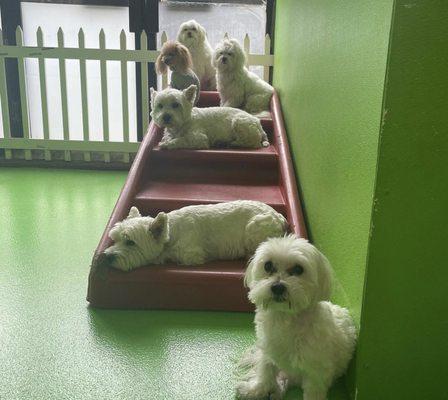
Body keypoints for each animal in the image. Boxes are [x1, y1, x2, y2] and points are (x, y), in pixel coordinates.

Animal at [94, 200, 288, 272]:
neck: (172, 231)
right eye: (115, 238)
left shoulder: (192, 255)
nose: (107, 256)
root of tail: (280, 217)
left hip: (254, 227)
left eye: (130, 242)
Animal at [238, 234, 356, 400]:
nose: (278, 287)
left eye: (298, 269)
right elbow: (264, 373)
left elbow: (313, 392)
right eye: (268, 266)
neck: (285, 320)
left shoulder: (316, 373)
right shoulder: (267, 353)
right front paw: (255, 390)